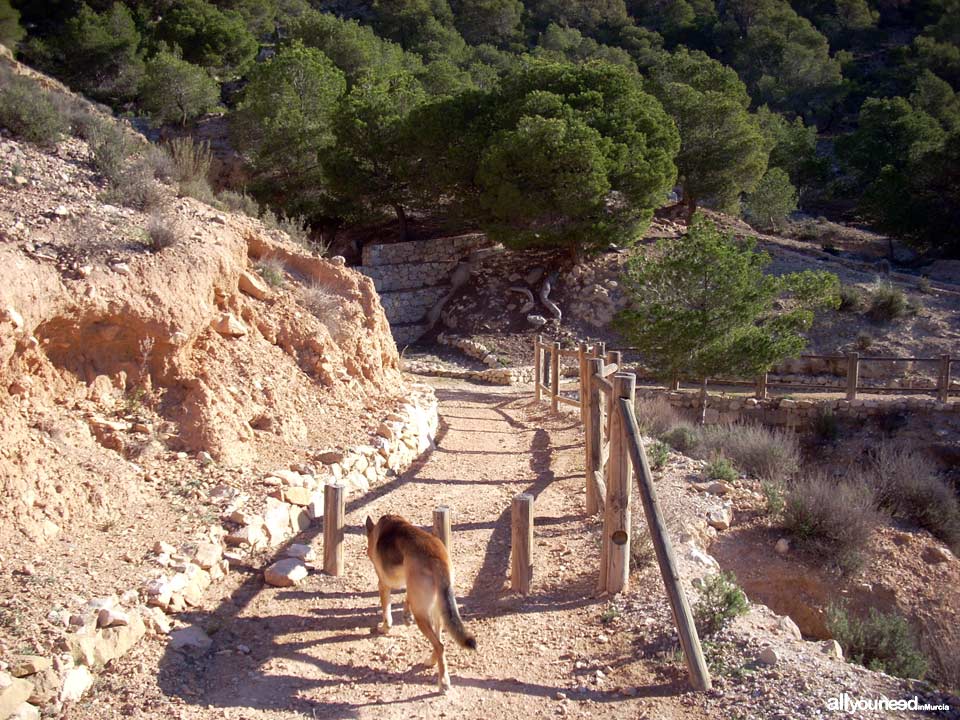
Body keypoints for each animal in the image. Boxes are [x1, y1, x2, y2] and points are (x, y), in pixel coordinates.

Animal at [364, 512, 476, 692]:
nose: (368, 552)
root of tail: (438, 558)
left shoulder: (383, 585)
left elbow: (386, 612)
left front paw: (384, 628)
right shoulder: (410, 585)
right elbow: (407, 598)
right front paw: (405, 615)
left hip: (422, 615)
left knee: (439, 645)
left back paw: (443, 681)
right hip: (437, 611)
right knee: (440, 642)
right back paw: (431, 662)